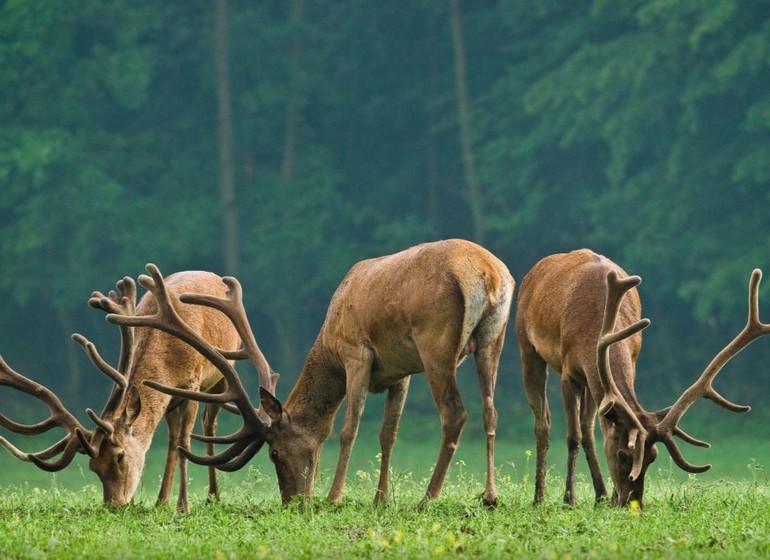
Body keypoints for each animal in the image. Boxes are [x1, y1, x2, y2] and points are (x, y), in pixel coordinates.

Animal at [0, 268, 276, 512]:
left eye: (120, 456)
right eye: (93, 467)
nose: (114, 504)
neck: (168, 359)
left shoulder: (193, 384)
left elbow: (185, 443)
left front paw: (183, 507)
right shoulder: (170, 395)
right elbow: (171, 442)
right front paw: (152, 503)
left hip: (224, 372)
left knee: (209, 424)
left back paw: (213, 496)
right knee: (172, 438)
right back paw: (162, 500)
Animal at [105, 238, 512, 510]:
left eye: (274, 453)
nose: (292, 501)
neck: (328, 346)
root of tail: (490, 275)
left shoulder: (356, 352)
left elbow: (347, 430)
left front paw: (334, 497)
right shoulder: (401, 372)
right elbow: (388, 435)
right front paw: (380, 499)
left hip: (436, 341)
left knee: (455, 413)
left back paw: (428, 497)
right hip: (493, 340)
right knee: (490, 410)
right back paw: (490, 495)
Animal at [510, 249, 768, 508]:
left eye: (652, 457)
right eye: (623, 454)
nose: (632, 502)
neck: (592, 331)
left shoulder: (628, 363)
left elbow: (596, 430)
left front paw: (607, 497)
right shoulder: (568, 371)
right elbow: (572, 436)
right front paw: (569, 501)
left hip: (590, 384)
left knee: (589, 429)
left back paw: (600, 496)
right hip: (525, 344)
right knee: (544, 422)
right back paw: (539, 498)